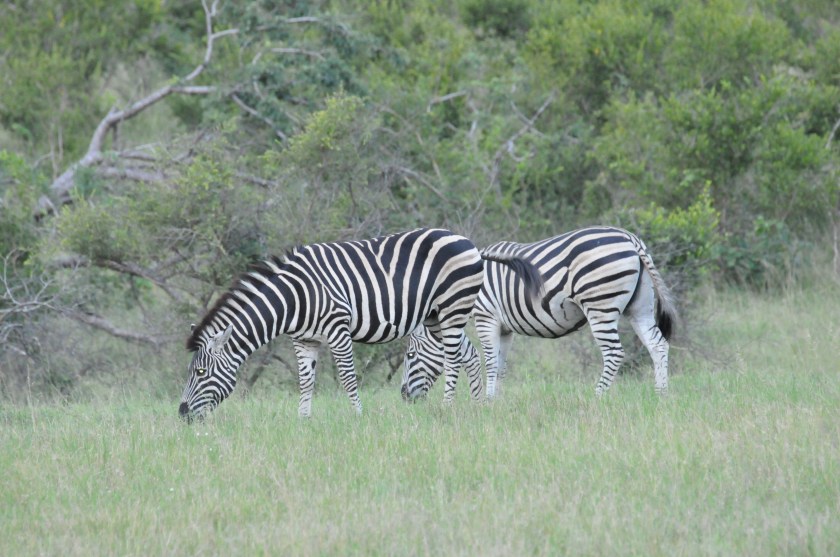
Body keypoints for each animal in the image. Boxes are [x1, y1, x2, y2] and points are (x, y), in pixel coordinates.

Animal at [179, 227, 542, 421]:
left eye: (200, 372)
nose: (182, 414)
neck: (293, 298)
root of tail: (467, 241)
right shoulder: (304, 339)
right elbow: (306, 381)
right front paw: (303, 420)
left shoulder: (337, 327)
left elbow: (348, 377)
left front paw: (357, 417)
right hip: (437, 316)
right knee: (469, 355)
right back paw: (477, 407)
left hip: (452, 308)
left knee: (455, 358)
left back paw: (448, 406)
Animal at [401, 226, 677, 400]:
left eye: (410, 355)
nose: (403, 396)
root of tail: (630, 239)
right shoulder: (505, 328)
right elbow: (500, 366)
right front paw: (494, 403)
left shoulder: (486, 316)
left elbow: (490, 361)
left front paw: (487, 402)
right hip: (639, 306)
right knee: (658, 345)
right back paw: (661, 396)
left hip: (600, 304)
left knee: (614, 353)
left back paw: (596, 397)